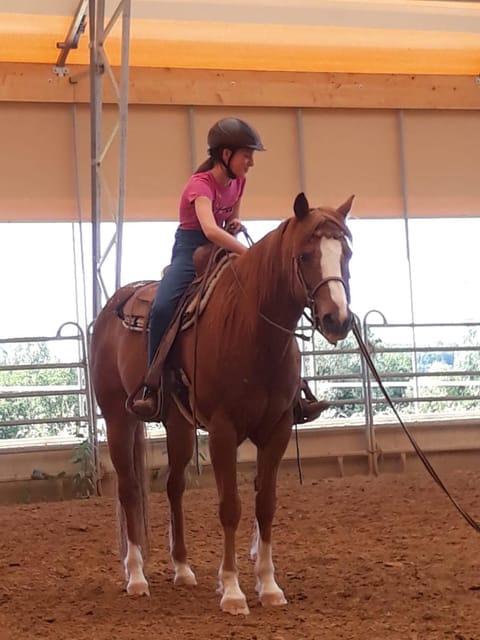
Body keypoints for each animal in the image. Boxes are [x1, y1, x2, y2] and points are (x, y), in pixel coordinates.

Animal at [89, 194, 352, 616]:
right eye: (305, 254)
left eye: (346, 253)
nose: (337, 319)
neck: (250, 329)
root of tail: (114, 304)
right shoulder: (223, 431)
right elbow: (231, 506)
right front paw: (232, 590)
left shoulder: (277, 429)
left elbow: (266, 504)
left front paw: (269, 586)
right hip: (118, 417)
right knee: (129, 488)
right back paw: (136, 576)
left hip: (178, 423)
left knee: (174, 485)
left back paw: (182, 569)